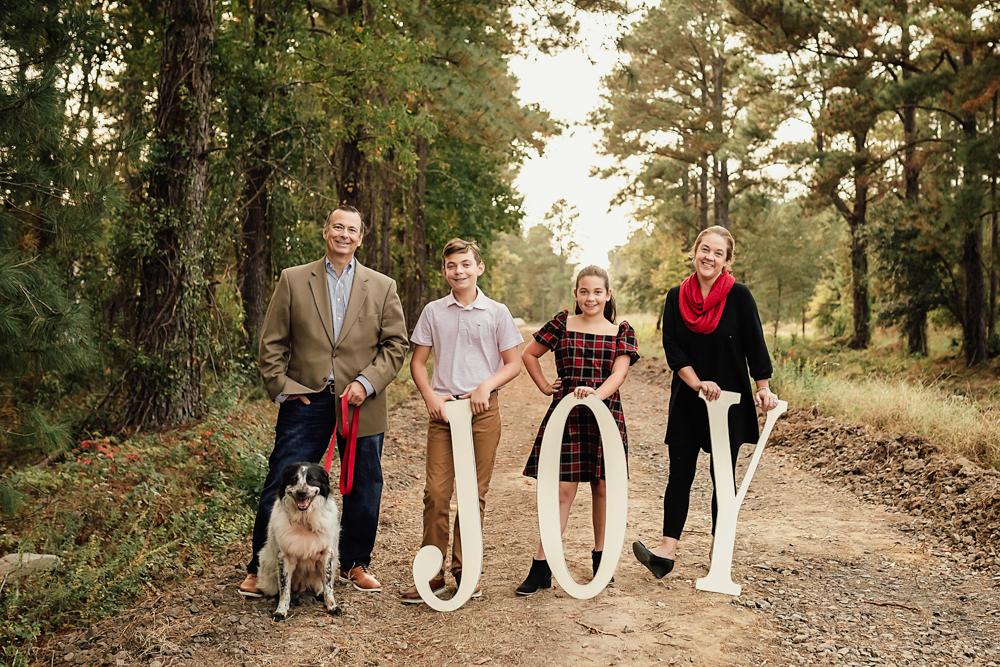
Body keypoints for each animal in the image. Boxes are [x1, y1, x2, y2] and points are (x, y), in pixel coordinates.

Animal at [256, 462, 342, 620]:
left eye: (311, 479)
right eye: (294, 479)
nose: (302, 493)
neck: (304, 520)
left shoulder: (326, 555)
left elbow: (328, 586)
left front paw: (332, 606)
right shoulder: (284, 557)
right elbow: (284, 590)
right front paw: (281, 611)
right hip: (266, 563)